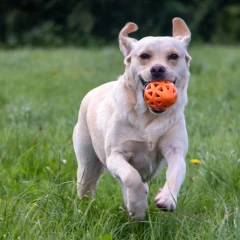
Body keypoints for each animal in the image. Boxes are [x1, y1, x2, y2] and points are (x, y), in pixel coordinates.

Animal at [73, 17, 191, 219]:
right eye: (144, 56)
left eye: (173, 56)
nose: (158, 69)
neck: (148, 116)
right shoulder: (115, 155)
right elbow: (131, 176)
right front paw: (137, 207)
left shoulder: (175, 149)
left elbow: (175, 173)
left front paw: (166, 199)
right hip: (87, 165)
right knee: (87, 189)